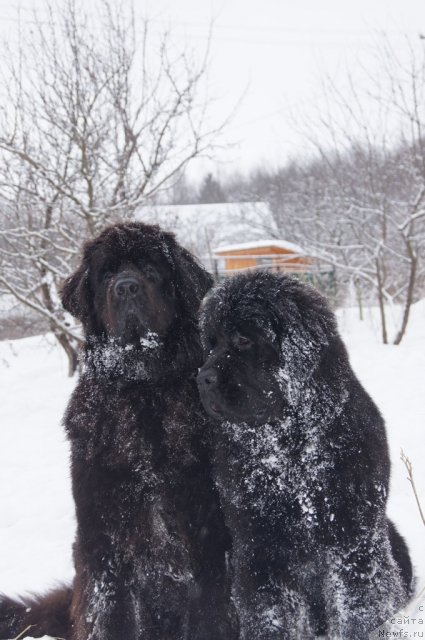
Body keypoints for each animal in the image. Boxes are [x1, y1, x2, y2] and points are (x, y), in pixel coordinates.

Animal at [0, 222, 235, 640]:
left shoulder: (208, 539)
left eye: (152, 269)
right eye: (107, 274)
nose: (126, 287)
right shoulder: (103, 545)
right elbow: (109, 617)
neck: (141, 391)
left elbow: (210, 615)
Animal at [197, 272, 412, 640]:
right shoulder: (258, 547)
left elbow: (360, 604)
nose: (202, 379)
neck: (291, 453)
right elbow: (269, 612)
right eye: (211, 344)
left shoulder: (353, 540)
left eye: (242, 339)